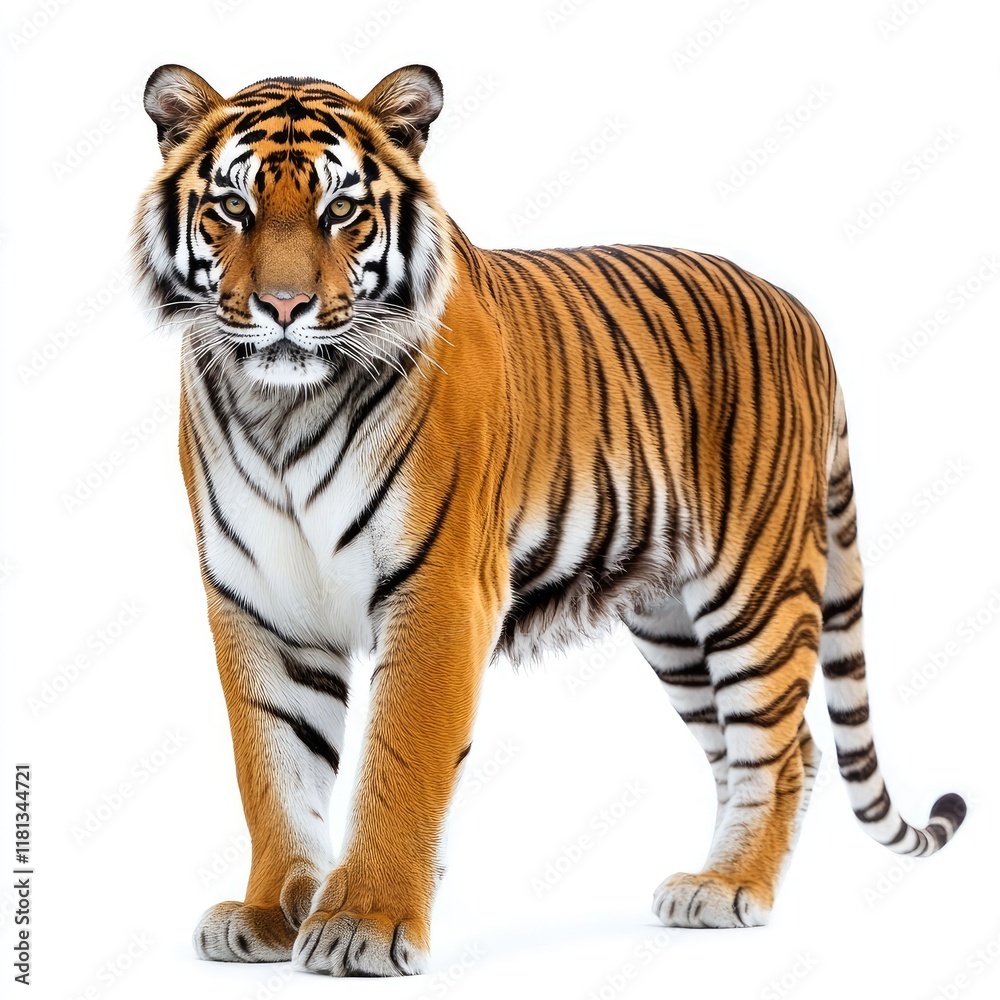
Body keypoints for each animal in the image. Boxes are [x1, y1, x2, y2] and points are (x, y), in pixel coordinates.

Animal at [132, 63, 966, 978]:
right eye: (232, 206)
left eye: (341, 211)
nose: (283, 306)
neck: (282, 409)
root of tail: (803, 312)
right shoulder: (256, 602)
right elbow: (272, 768)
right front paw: (269, 912)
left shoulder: (439, 591)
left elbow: (399, 765)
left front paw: (364, 923)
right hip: (672, 622)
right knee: (771, 749)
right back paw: (711, 878)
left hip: (754, 588)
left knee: (781, 749)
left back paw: (731, 888)